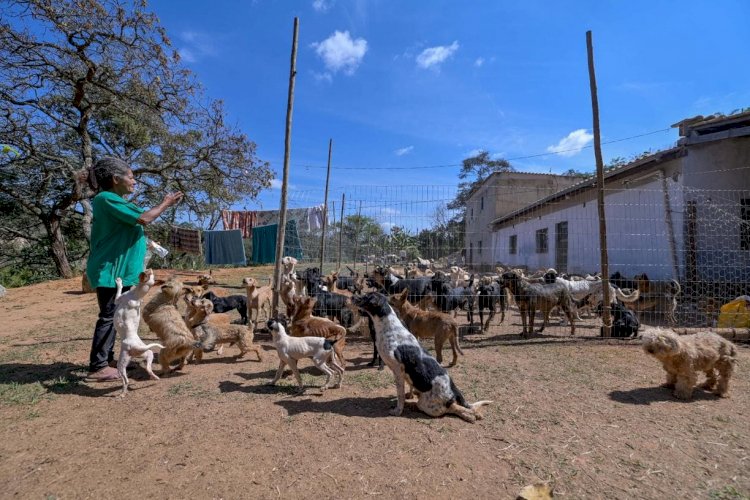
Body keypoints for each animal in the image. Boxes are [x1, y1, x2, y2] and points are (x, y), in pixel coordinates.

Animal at [354, 292, 494, 424]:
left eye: (366, 297)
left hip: (427, 404)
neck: (388, 327)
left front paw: (398, 411)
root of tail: (453, 390)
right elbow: (408, 388)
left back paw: (471, 416)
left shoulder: (398, 371)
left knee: (453, 407)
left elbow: (400, 396)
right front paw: (409, 396)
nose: (352, 297)